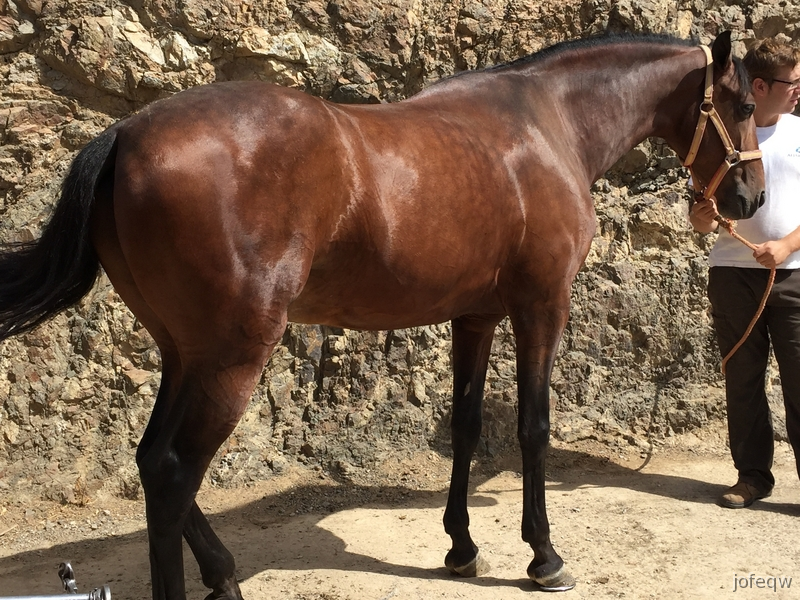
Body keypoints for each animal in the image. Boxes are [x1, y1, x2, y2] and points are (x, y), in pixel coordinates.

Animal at [0, 31, 763, 598]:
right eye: (743, 102)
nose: (752, 196)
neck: (546, 124)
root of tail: (126, 134)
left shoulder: (475, 317)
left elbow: (465, 425)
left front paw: (461, 546)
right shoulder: (541, 306)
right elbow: (533, 428)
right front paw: (543, 555)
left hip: (185, 353)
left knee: (151, 458)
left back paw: (222, 574)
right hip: (233, 356)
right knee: (171, 472)